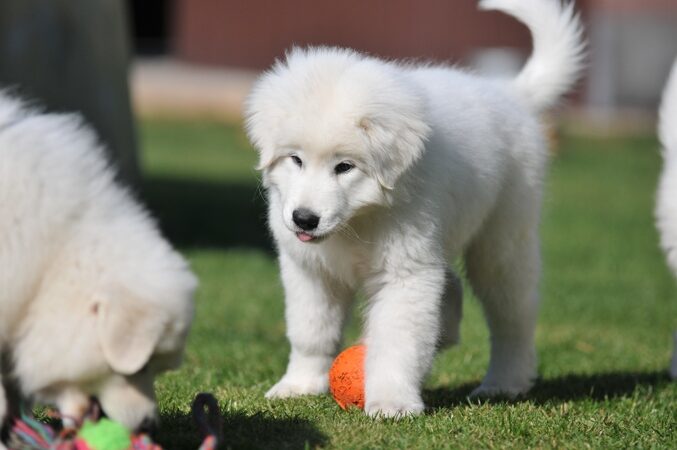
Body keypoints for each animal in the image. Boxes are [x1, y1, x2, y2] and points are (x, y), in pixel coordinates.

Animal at [246, 0, 584, 418]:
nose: (304, 219)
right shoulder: (310, 272)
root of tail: (508, 92)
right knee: (450, 286)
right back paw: (448, 333)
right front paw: (299, 385)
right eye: (296, 160)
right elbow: (311, 332)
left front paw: (392, 402)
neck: (359, 221)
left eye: (345, 167)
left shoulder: (405, 272)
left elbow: (397, 341)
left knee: (512, 317)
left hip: (502, 240)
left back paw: (504, 382)